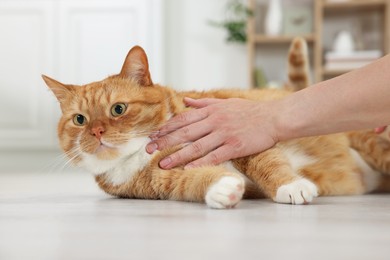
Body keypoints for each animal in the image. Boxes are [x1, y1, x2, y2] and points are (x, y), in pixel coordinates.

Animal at [42, 37, 390, 208]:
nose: (97, 131)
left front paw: (289, 185)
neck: (144, 151)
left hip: (371, 143)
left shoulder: (241, 133)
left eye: (117, 109)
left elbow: (266, 162)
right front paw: (222, 188)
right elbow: (191, 182)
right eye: (79, 119)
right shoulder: (163, 182)